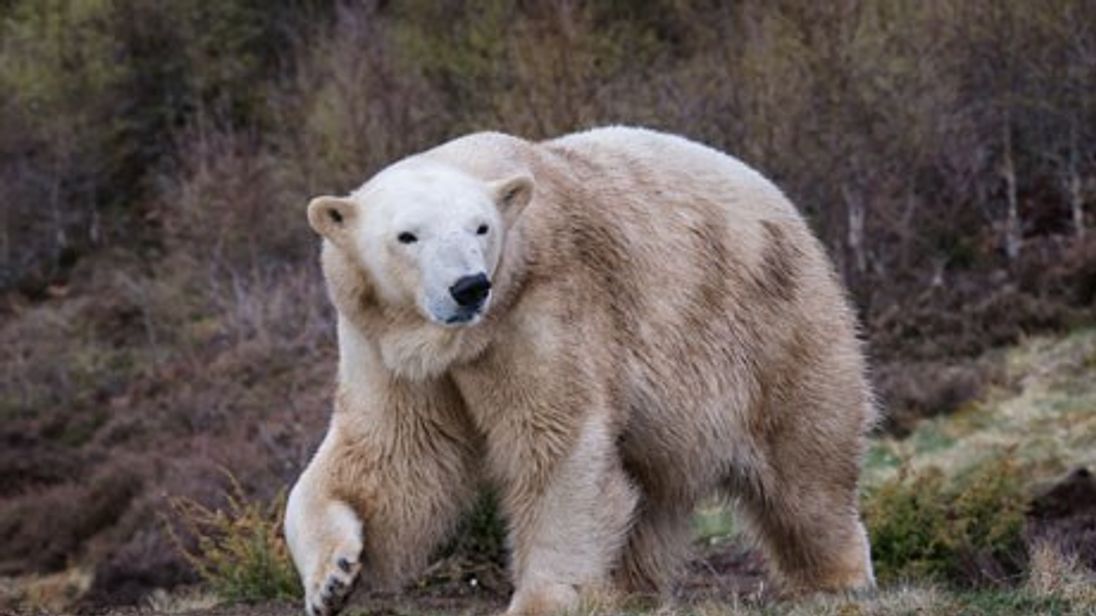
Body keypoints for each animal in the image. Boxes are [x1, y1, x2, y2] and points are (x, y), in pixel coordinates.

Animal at [287, 126, 876, 613]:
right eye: (408, 235)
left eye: (481, 227)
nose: (469, 287)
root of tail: (784, 204)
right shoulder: (385, 345)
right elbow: (393, 456)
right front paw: (333, 578)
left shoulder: (542, 308)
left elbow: (557, 443)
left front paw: (541, 600)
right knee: (648, 487)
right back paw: (627, 590)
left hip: (773, 326)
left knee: (805, 469)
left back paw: (834, 579)